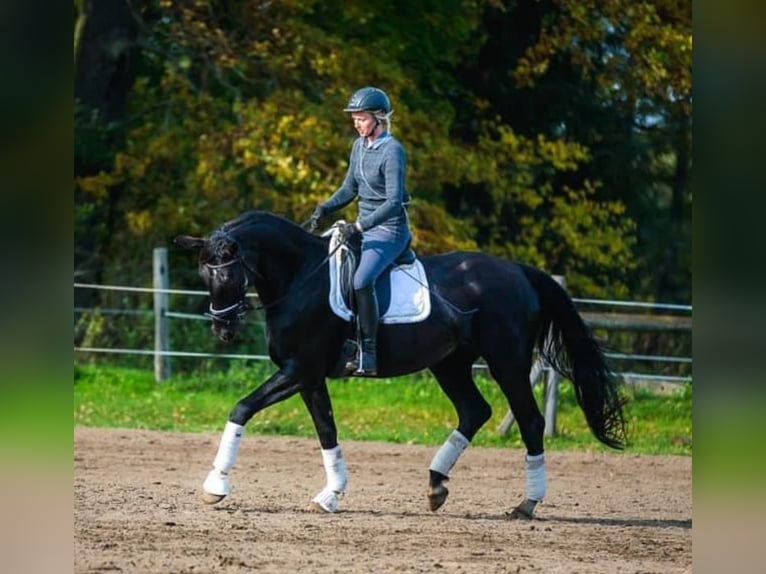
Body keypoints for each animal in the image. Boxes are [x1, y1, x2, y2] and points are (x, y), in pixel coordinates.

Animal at [174, 209, 627, 518]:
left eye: (227, 275)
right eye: (203, 276)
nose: (223, 329)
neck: (301, 277)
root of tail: (518, 270)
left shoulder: (298, 371)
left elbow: (242, 408)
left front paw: (215, 486)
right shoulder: (309, 377)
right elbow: (326, 430)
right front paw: (332, 494)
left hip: (508, 363)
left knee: (529, 421)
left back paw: (526, 503)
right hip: (450, 364)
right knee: (474, 411)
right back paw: (436, 486)